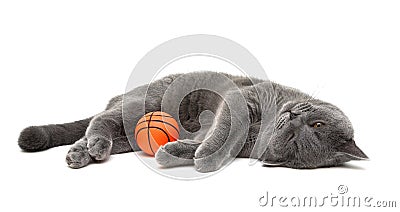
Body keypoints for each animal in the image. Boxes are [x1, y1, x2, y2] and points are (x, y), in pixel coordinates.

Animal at [19, 71, 368, 172]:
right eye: (316, 125)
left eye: (295, 140)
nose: (293, 116)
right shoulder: (241, 101)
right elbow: (226, 129)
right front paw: (202, 156)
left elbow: (210, 142)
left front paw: (180, 153)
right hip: (147, 101)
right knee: (101, 119)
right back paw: (92, 145)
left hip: (128, 136)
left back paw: (82, 153)